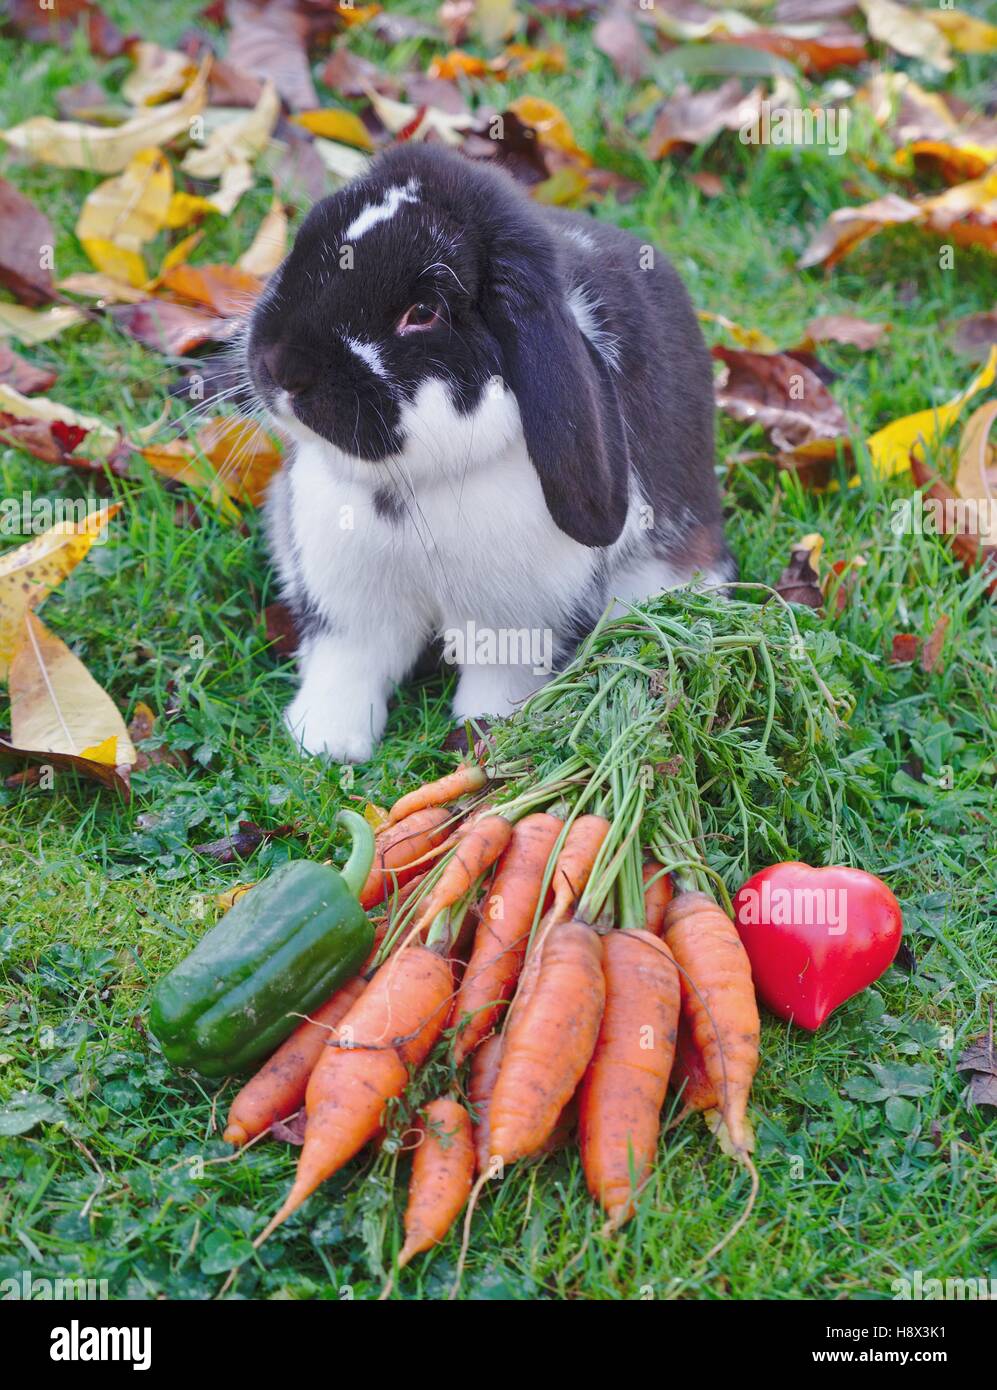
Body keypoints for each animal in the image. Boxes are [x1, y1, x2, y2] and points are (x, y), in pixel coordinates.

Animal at [246, 142, 733, 762]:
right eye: (304, 243)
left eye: (422, 313)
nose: (281, 367)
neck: (412, 483)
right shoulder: (348, 601)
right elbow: (349, 663)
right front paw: (325, 743)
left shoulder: (516, 620)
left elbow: (497, 678)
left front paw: (486, 734)